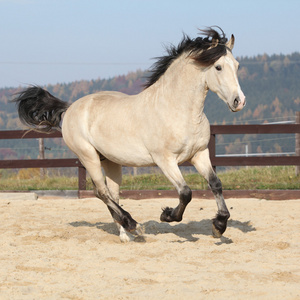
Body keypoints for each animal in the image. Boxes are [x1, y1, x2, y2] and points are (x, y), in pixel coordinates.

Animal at [12, 27, 245, 244]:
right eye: (218, 67)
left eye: (237, 65)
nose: (239, 101)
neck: (176, 109)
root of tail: (70, 108)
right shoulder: (165, 160)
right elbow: (185, 192)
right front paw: (167, 215)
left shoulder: (199, 154)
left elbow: (215, 184)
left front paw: (219, 226)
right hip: (88, 156)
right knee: (102, 192)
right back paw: (133, 224)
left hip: (111, 161)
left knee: (111, 193)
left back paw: (127, 233)